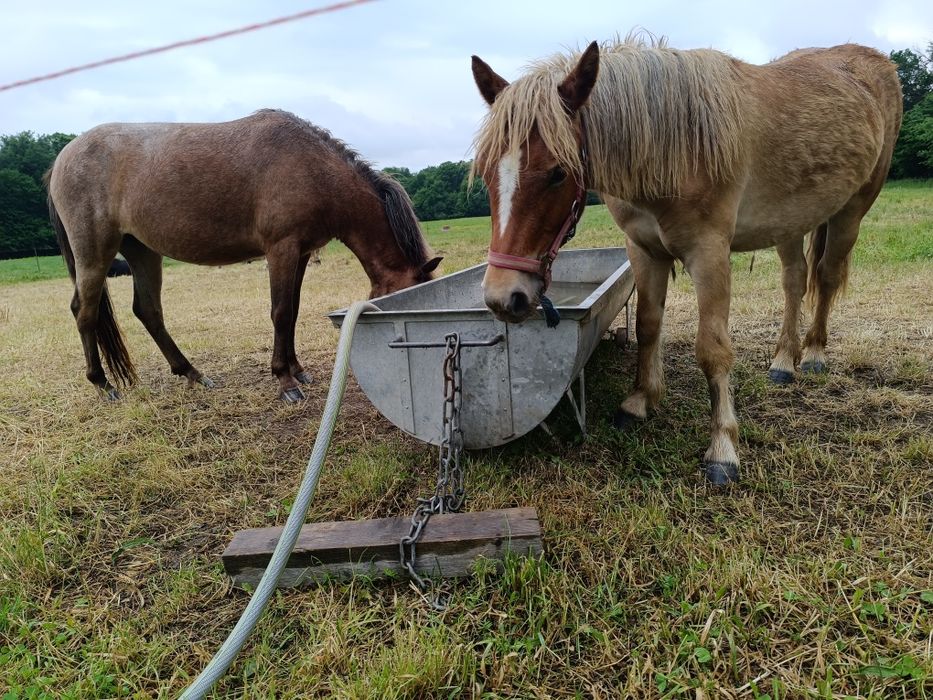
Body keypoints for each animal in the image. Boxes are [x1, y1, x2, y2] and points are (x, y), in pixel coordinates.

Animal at [46, 109, 441, 402]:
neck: (311, 167)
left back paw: (192, 374)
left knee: (148, 311)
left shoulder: (300, 253)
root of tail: (63, 158)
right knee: (84, 311)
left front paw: (297, 371)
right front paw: (285, 382)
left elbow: (293, 309)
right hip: (94, 254)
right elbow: (280, 312)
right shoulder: (281, 249)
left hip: (142, 252)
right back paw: (103, 385)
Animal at [470, 38, 902, 484]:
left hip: (852, 210)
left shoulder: (709, 254)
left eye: (557, 173)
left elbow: (712, 349)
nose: (504, 298)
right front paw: (639, 401)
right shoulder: (644, 252)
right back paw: (784, 361)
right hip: (791, 220)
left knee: (827, 276)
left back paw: (814, 354)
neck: (672, 147)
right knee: (795, 281)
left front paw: (723, 448)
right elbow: (648, 326)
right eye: (485, 172)